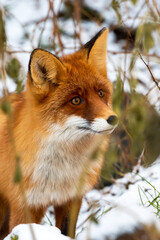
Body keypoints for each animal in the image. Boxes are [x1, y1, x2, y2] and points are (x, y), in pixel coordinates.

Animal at [0, 28, 117, 238]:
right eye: (76, 100)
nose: (113, 119)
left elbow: (67, 232)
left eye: (101, 93)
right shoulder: (24, 205)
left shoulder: (71, 199)